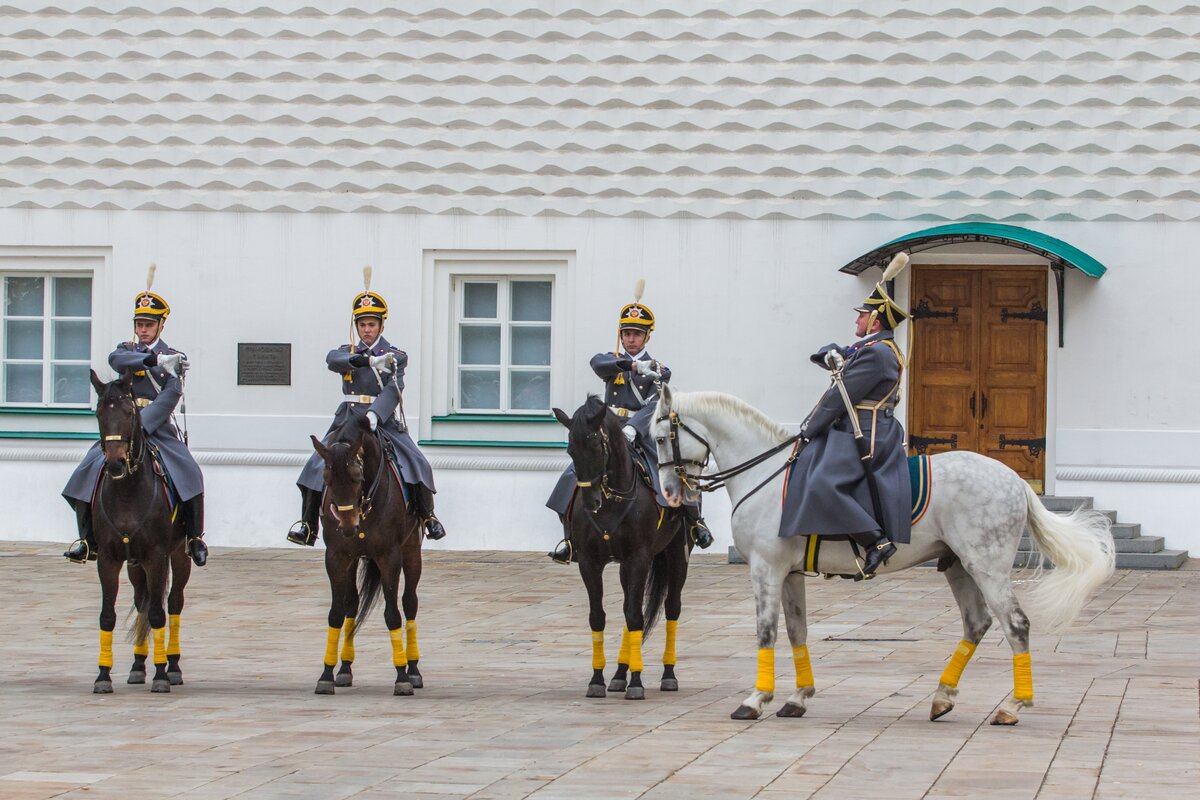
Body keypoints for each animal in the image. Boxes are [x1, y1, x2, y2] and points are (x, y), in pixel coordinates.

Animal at [87, 371, 189, 690]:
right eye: (98, 413)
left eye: (129, 412)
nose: (115, 463)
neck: (127, 493)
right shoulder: (108, 559)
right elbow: (107, 616)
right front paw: (103, 675)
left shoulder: (157, 557)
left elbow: (158, 614)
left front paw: (161, 675)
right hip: (134, 563)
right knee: (141, 600)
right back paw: (138, 665)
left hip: (179, 555)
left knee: (173, 603)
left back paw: (173, 665)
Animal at [312, 412, 424, 695]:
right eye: (326, 478)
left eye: (357, 476)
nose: (347, 527)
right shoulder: (336, 557)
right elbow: (336, 612)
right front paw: (327, 673)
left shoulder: (389, 557)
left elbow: (393, 615)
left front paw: (401, 676)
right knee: (351, 603)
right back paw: (345, 668)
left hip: (412, 551)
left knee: (410, 603)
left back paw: (413, 668)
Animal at [549, 395, 691, 700]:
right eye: (570, 449)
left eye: (595, 445)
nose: (591, 502)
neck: (612, 499)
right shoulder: (590, 562)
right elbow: (598, 617)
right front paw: (598, 679)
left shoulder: (638, 558)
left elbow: (635, 615)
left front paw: (637, 682)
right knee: (629, 606)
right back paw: (618, 675)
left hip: (677, 554)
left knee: (671, 608)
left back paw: (668, 674)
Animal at [657, 388, 1113, 724]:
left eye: (660, 437)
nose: (670, 494)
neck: (767, 476)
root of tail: (1016, 479)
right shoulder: (789, 573)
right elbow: (797, 632)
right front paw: (798, 697)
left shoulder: (765, 568)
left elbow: (766, 631)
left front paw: (755, 700)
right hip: (959, 566)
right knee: (977, 623)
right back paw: (942, 696)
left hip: (988, 565)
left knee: (1015, 624)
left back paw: (1012, 706)